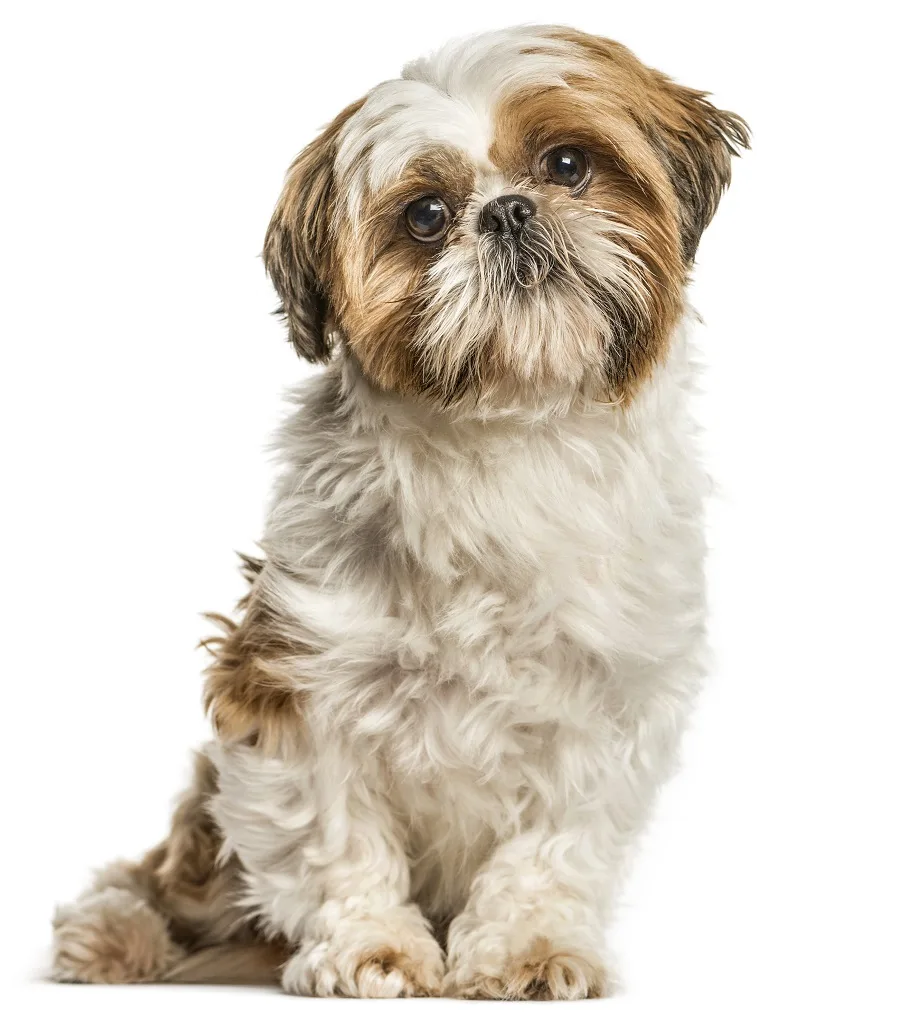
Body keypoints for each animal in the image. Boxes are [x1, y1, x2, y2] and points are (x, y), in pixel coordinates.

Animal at [52, 26, 750, 1000]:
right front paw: (371, 946)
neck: (506, 445)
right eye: (425, 216)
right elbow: (335, 835)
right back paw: (114, 932)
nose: (508, 212)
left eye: (568, 165)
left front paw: (527, 947)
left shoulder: (609, 703)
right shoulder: (291, 681)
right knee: (169, 880)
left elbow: (550, 844)